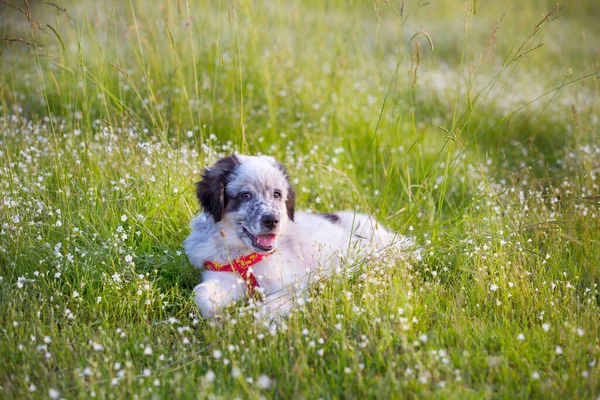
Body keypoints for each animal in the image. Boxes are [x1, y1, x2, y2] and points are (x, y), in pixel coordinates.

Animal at [185, 154, 414, 318]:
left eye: (277, 194)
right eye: (245, 195)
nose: (272, 220)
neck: (245, 254)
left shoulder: (294, 285)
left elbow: (270, 306)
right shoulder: (222, 277)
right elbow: (200, 291)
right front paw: (215, 316)